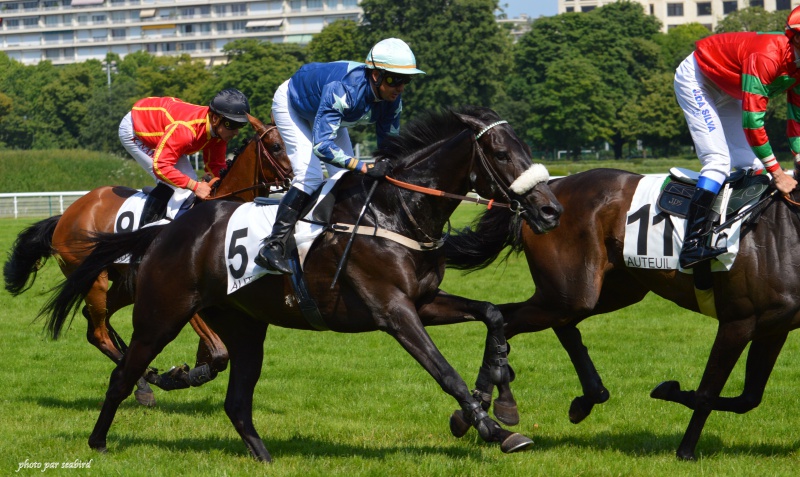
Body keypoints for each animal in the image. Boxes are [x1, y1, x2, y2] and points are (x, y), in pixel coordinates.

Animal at [3, 114, 290, 406]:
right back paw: (146, 384)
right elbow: (219, 354)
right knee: (98, 333)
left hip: (125, 284)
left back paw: (146, 379)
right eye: (277, 146)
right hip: (95, 280)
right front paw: (184, 375)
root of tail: (66, 215)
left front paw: (189, 370)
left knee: (97, 322)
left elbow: (216, 352)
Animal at [39, 106, 564, 460]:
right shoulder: (393, 311)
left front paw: (496, 398)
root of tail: (167, 231)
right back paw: (103, 437)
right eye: (502, 152)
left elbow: (492, 316)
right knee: (121, 367)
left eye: (526, 149)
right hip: (161, 312)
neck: (394, 212)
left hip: (244, 326)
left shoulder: (425, 300)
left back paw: (264, 457)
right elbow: (443, 370)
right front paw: (491, 428)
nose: (550, 209)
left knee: (236, 400)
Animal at [444, 168, 800, 462]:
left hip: (608, 289)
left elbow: (749, 397)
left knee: (549, 323)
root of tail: (549, 189)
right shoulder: (738, 322)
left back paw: (585, 397)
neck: (782, 228)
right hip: (572, 291)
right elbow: (707, 394)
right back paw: (481, 408)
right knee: (505, 319)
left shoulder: (774, 328)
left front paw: (670, 392)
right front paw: (685, 450)